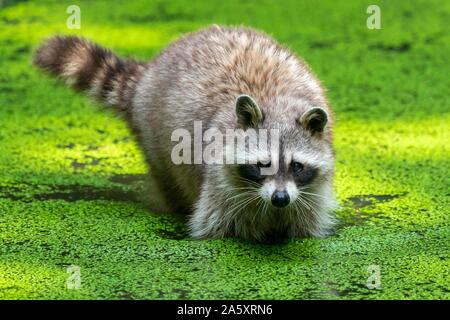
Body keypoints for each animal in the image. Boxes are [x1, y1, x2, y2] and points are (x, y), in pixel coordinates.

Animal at [34, 25, 338, 241]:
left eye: (297, 166)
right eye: (262, 164)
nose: (280, 198)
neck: (275, 102)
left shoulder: (312, 194)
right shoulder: (220, 189)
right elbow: (216, 228)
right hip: (154, 144)